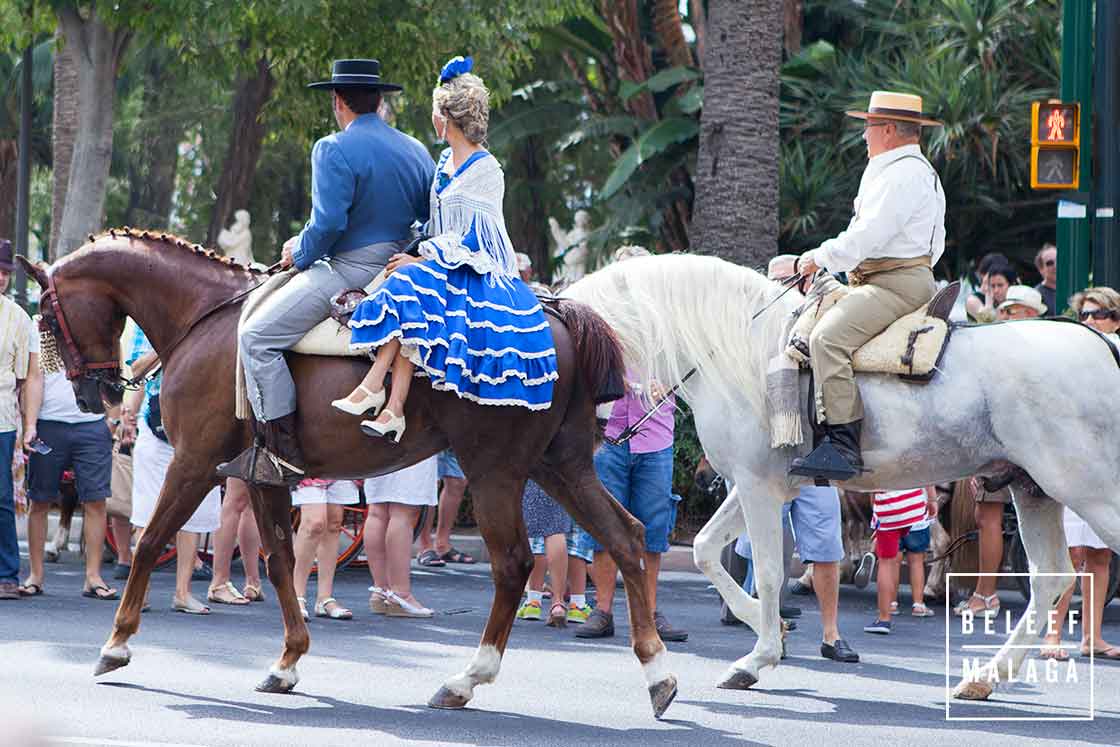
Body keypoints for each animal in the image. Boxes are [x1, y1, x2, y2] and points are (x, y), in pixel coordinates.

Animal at [17, 231, 676, 716]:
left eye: (47, 312)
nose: (92, 394)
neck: (204, 318)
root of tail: (557, 308)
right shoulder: (262, 475)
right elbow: (279, 559)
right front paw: (288, 661)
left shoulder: (196, 461)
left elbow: (153, 539)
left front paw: (116, 644)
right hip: (559, 465)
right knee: (625, 537)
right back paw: (657, 672)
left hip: (496, 471)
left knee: (515, 563)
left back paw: (468, 678)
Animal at [568, 254, 1120, 698]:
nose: (588, 431)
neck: (740, 351)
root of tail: (1102, 347)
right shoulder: (759, 485)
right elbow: (705, 549)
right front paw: (769, 630)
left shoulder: (757, 488)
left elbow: (768, 572)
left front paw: (758, 658)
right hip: (1033, 490)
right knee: (1052, 578)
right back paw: (985, 677)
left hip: (1089, 491)